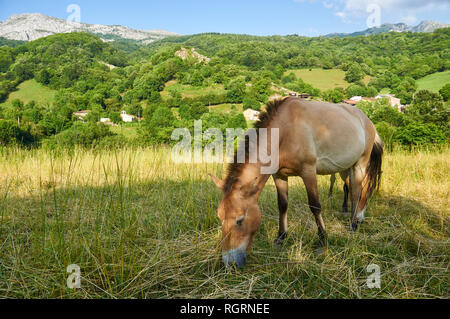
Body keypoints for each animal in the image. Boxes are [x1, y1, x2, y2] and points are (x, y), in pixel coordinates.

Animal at [211, 96, 384, 268]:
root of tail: (367, 120)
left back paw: (354, 224)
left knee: (357, 191)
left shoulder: (308, 172)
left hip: (360, 164)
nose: (230, 263)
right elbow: (282, 205)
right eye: (220, 217)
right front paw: (281, 237)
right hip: (346, 168)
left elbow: (315, 206)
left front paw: (323, 240)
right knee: (353, 188)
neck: (286, 130)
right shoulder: (279, 175)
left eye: (240, 220)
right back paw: (357, 218)